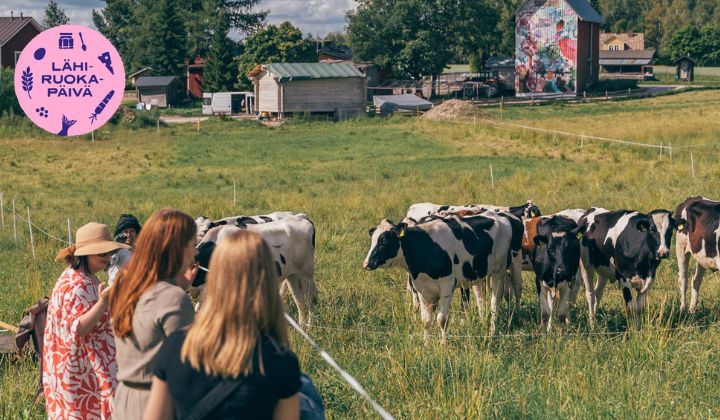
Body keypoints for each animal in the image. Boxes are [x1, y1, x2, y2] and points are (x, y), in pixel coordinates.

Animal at [368, 213, 516, 342]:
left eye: (384, 241)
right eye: (373, 240)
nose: (367, 263)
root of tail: (500, 217)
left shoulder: (447, 287)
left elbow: (442, 320)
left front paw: (443, 345)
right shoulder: (422, 289)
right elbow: (426, 321)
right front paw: (426, 345)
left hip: (499, 271)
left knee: (495, 302)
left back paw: (491, 333)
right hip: (477, 275)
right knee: (480, 300)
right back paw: (482, 323)